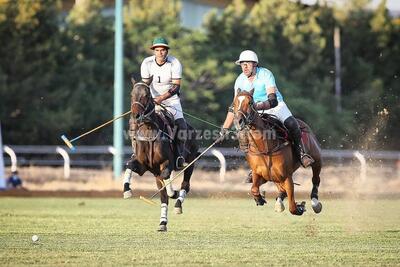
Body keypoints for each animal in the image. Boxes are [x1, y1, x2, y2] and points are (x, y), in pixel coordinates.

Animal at [122, 80, 197, 231]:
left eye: (146, 95)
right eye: (132, 94)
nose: (136, 116)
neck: (148, 130)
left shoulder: (167, 163)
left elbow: (167, 180)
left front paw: (173, 192)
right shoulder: (143, 166)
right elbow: (129, 165)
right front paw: (127, 190)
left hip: (190, 163)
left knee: (185, 185)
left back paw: (178, 205)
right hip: (156, 174)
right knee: (163, 196)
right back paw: (162, 223)